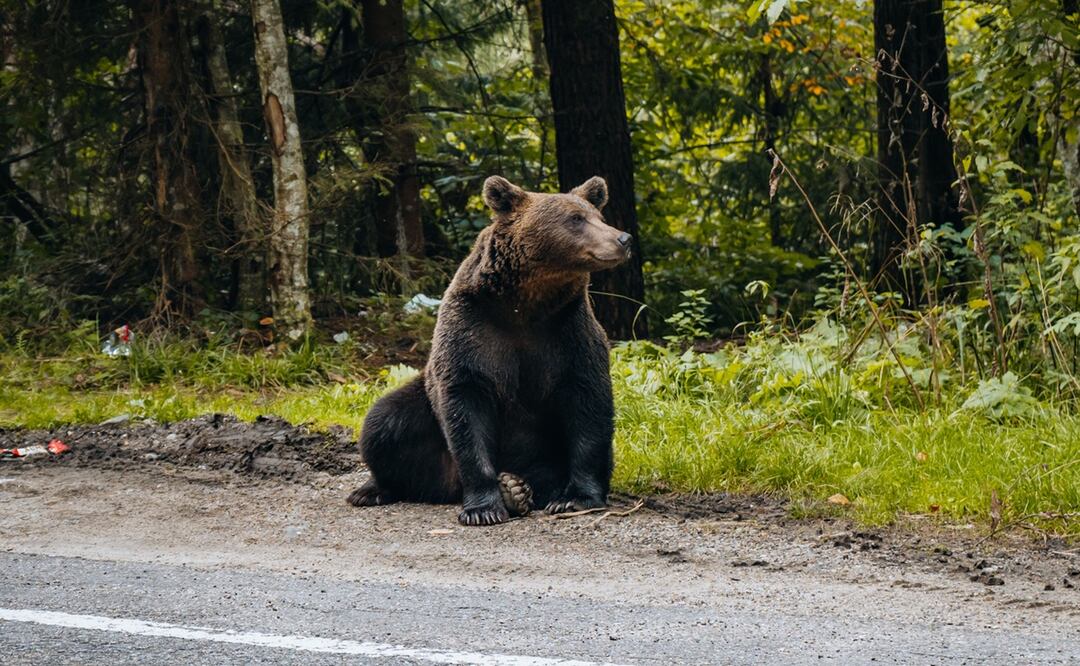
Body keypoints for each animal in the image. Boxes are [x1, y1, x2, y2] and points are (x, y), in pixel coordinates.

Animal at [346, 175, 632, 526]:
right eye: (575, 219)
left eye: (598, 216)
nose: (623, 238)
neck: (526, 303)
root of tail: (449, 486)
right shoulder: (473, 330)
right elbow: (465, 405)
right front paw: (483, 508)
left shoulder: (568, 332)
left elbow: (588, 407)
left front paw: (575, 498)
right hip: (422, 413)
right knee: (383, 423)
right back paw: (373, 490)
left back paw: (518, 489)